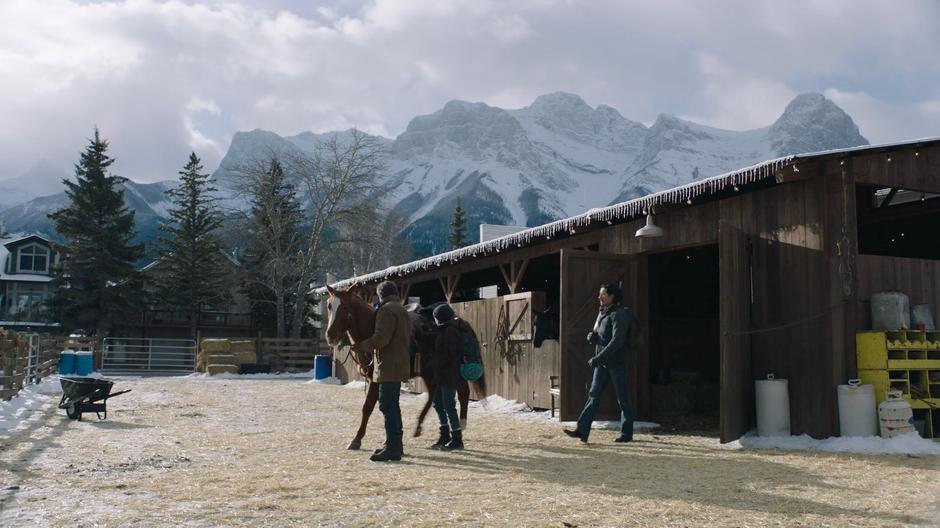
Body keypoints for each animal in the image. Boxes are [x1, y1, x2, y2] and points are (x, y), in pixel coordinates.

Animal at [324, 284, 484, 450]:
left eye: (345, 306)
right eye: (329, 306)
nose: (330, 335)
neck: (372, 330)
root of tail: (458, 322)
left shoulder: (376, 379)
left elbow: (368, 407)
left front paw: (357, 439)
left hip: (450, 371)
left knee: (463, 391)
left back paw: (461, 426)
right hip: (429, 373)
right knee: (433, 396)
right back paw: (424, 428)